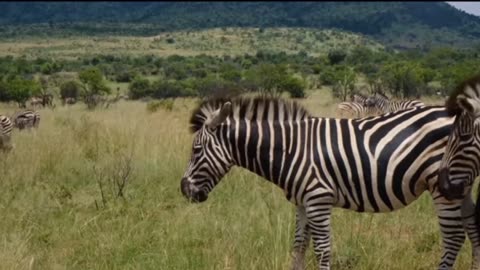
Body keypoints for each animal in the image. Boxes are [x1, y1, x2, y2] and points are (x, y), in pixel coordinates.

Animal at [179, 95, 480, 270]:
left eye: (196, 150)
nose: (184, 190)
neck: (291, 149)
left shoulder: (318, 199)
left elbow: (322, 251)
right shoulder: (302, 202)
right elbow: (298, 248)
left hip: (442, 186)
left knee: (454, 238)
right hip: (460, 185)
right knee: (473, 228)